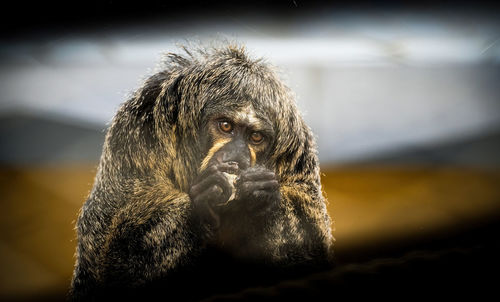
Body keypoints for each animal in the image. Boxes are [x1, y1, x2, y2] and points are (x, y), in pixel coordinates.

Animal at [70, 43, 334, 300]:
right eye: (226, 126)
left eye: (256, 137)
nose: (237, 155)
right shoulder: (135, 133)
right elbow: (110, 263)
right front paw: (204, 200)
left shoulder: (300, 154)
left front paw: (263, 198)